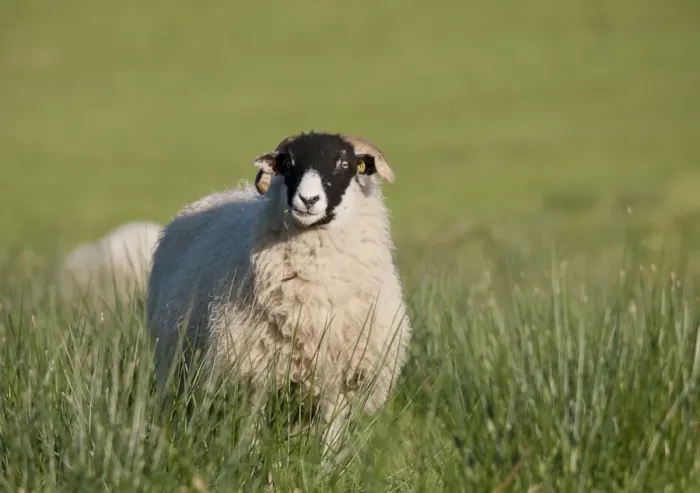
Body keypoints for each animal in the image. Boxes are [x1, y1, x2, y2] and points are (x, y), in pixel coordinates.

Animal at [146, 131, 412, 462]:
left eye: (344, 164)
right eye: (288, 164)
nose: (308, 200)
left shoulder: (341, 382)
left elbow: (330, 438)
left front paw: (324, 466)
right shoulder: (253, 378)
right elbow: (251, 432)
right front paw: (248, 462)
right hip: (175, 368)